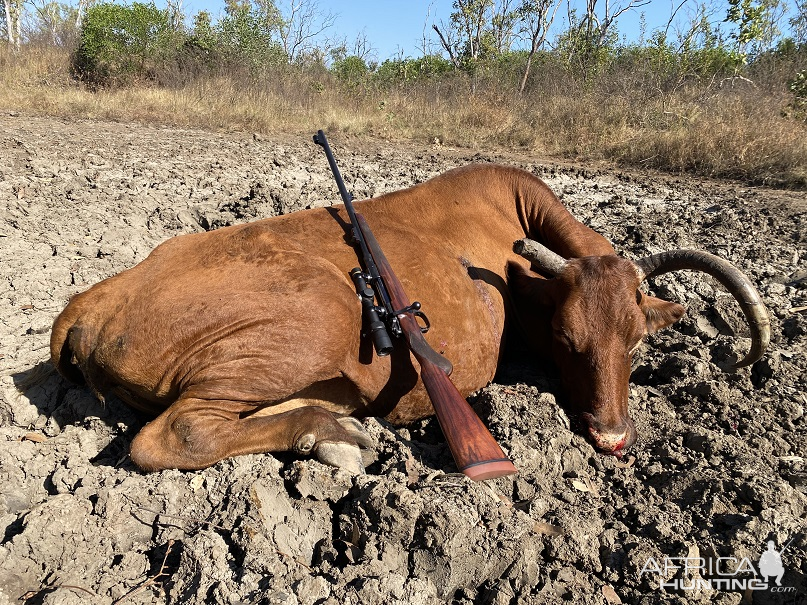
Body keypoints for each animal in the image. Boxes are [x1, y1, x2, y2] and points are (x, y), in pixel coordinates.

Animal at [50, 164, 772, 472]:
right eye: (567, 340)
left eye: (638, 340)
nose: (613, 437)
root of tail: (96, 297)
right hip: (314, 318)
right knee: (174, 435)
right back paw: (334, 434)